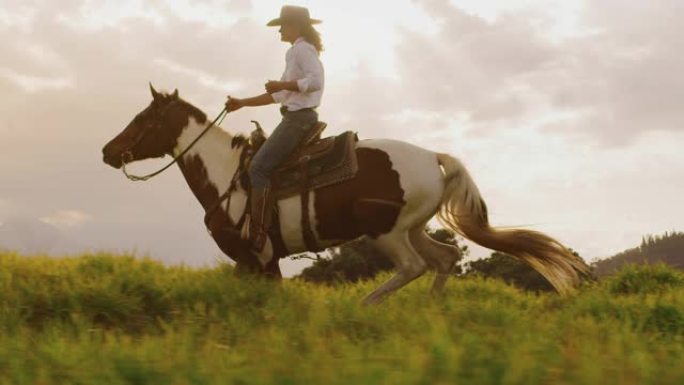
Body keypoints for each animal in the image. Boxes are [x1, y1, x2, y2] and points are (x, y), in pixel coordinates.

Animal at [103, 86, 592, 304]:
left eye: (142, 118)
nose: (108, 151)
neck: (228, 176)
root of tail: (432, 157)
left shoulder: (258, 256)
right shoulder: (252, 262)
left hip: (386, 232)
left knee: (414, 266)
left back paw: (368, 305)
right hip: (413, 227)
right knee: (445, 258)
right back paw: (430, 309)